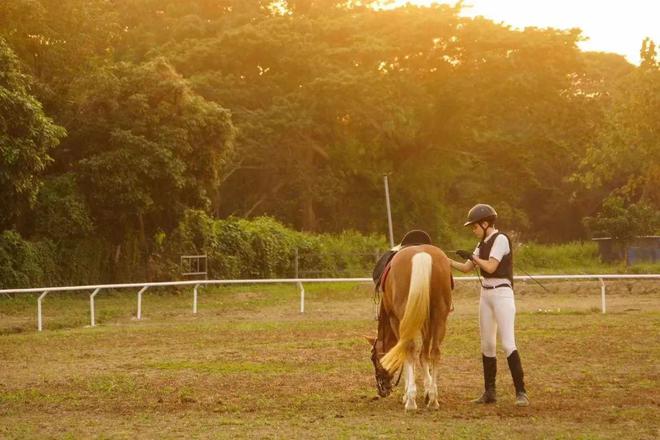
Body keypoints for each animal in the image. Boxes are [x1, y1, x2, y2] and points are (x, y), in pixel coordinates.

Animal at [366, 244, 454, 410]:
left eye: (373, 358)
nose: (382, 390)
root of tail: (421, 255)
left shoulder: (396, 321)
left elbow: (405, 353)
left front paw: (407, 395)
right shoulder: (425, 323)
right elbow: (423, 355)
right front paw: (428, 392)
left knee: (410, 348)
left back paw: (411, 402)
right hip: (439, 317)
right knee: (435, 352)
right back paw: (433, 400)